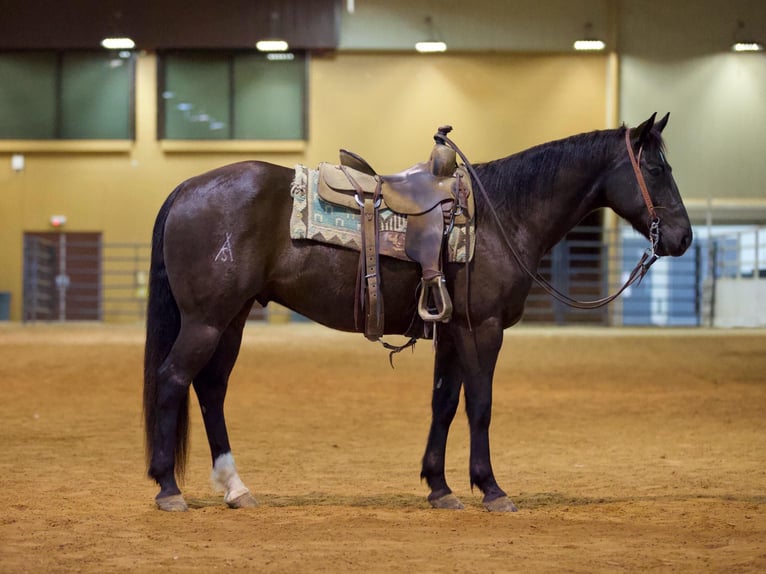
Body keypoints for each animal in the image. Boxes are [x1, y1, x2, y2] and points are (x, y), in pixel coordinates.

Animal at [144, 112, 696, 512]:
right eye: (656, 170)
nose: (683, 237)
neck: (501, 215)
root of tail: (187, 188)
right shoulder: (481, 328)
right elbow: (480, 405)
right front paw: (491, 489)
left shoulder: (451, 330)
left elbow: (444, 403)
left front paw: (440, 487)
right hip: (207, 320)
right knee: (173, 379)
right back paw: (169, 489)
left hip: (232, 318)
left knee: (210, 389)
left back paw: (235, 487)